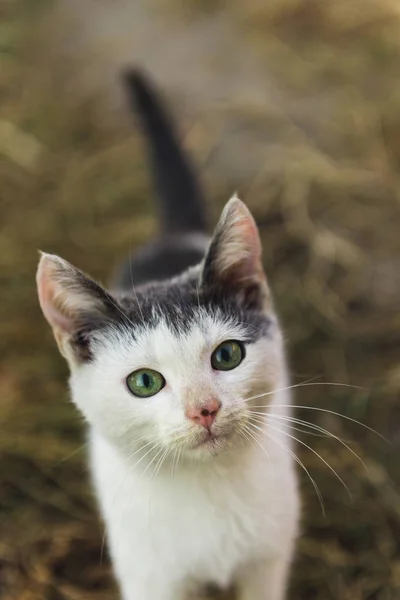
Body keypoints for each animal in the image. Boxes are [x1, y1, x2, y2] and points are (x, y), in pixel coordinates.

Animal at [36, 70, 300, 600]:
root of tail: (172, 236)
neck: (207, 485)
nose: (205, 409)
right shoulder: (150, 576)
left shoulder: (268, 560)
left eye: (227, 355)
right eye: (144, 382)